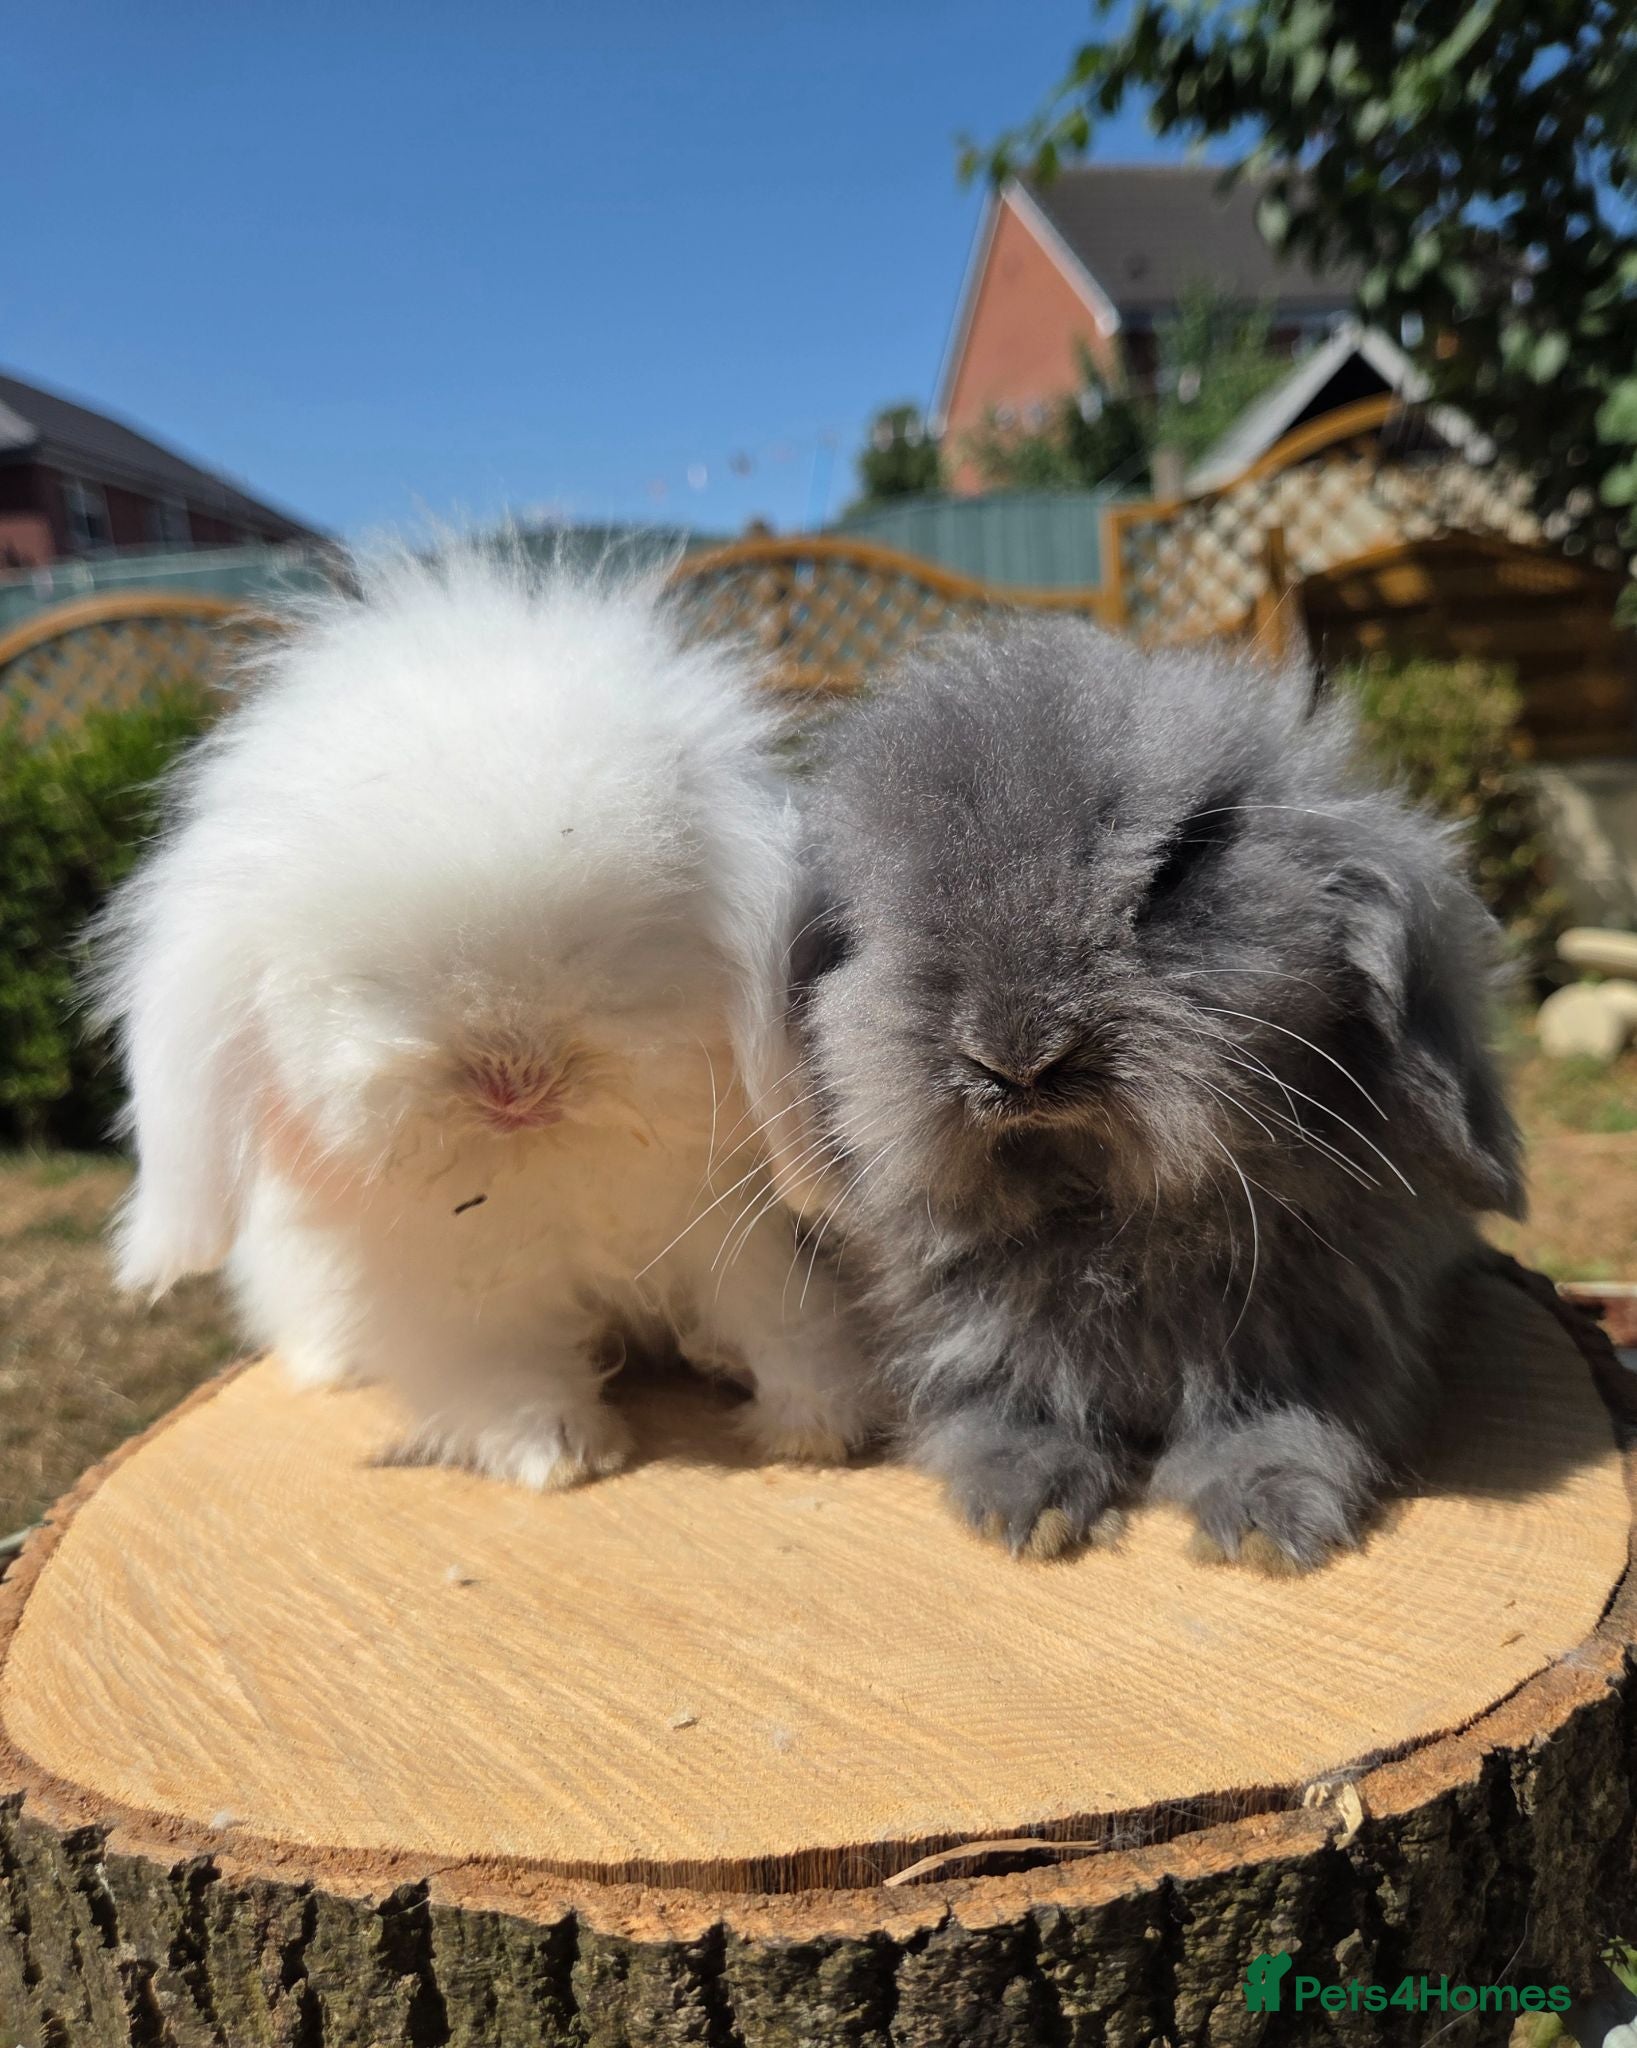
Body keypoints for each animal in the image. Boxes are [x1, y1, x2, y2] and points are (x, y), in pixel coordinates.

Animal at [91, 548, 872, 1490]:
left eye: (615, 940)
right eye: (367, 979)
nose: (512, 1081)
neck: (544, 1167)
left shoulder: (734, 1225)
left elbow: (774, 1316)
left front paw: (819, 1425)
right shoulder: (460, 1292)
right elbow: (503, 1368)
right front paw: (559, 1453)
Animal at [770, 617, 1523, 1572]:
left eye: (1177, 868)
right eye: (865, 923)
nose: (1017, 1059)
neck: (1105, 1205)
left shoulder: (1305, 1342)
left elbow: (1279, 1425)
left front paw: (1269, 1525)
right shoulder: (968, 1340)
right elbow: (1002, 1414)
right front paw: (1031, 1511)